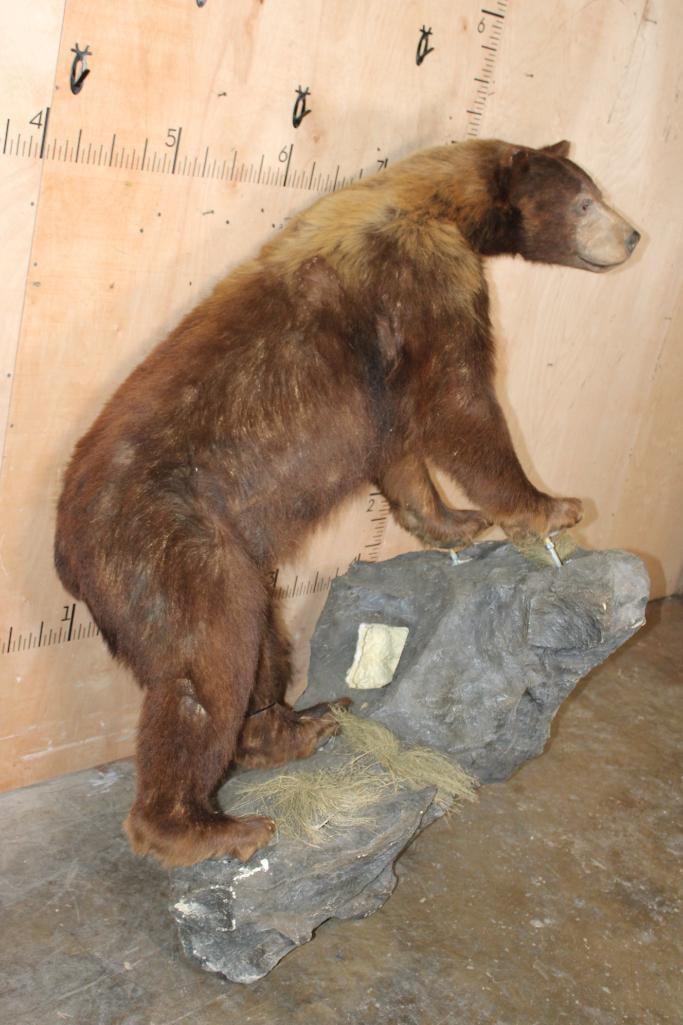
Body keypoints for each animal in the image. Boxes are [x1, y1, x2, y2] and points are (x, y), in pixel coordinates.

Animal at [54, 139, 639, 867]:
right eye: (585, 201)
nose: (632, 235)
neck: (439, 203)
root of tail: (67, 549)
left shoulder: (381, 376)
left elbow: (400, 439)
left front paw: (456, 521)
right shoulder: (426, 275)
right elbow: (457, 397)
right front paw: (547, 505)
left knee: (262, 649)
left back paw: (304, 723)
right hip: (170, 546)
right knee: (207, 663)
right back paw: (208, 826)